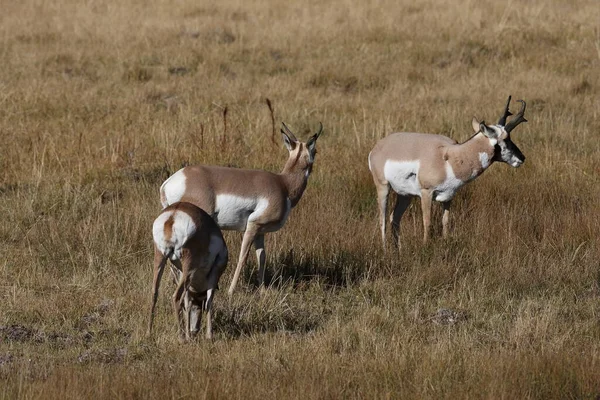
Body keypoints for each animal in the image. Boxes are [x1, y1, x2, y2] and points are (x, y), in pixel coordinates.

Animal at [148, 203, 227, 340]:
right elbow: (209, 301)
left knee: (154, 293)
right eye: (199, 303)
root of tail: (173, 215)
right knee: (176, 296)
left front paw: (189, 335)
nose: (195, 330)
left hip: (161, 258)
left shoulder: (181, 274)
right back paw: (181, 338)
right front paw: (209, 336)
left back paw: (149, 333)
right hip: (188, 267)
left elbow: (187, 303)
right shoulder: (214, 273)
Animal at [157, 122, 322, 294]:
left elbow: (262, 257)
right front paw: (230, 291)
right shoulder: (253, 226)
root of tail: (170, 181)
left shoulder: (261, 232)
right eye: (315, 150)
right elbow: (243, 257)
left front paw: (262, 290)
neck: (283, 184)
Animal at [368, 95, 528, 248]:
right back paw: (385, 249)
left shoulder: (448, 197)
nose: (522, 158)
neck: (451, 156)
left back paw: (398, 250)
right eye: (506, 139)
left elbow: (445, 222)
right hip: (383, 187)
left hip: (405, 195)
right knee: (383, 220)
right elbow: (427, 222)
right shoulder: (426, 193)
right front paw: (425, 247)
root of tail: (378, 147)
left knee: (394, 218)